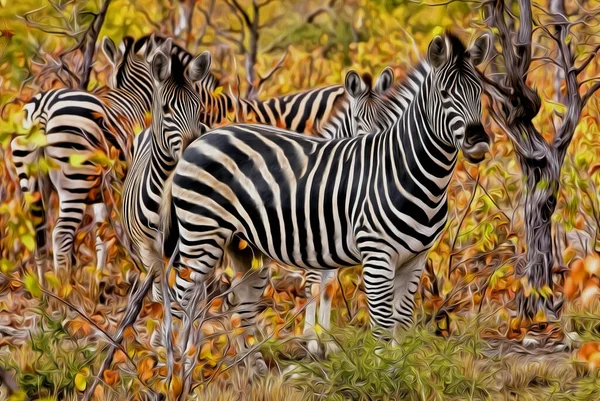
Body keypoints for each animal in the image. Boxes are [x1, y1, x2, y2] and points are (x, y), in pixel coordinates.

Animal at [165, 32, 492, 366]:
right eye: (445, 93)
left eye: (480, 91)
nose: (478, 141)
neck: (408, 173)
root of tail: (201, 138)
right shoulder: (374, 254)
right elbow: (379, 322)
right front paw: (369, 366)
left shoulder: (415, 258)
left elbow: (399, 321)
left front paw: (394, 368)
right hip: (201, 233)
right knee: (182, 297)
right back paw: (179, 365)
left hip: (242, 246)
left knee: (238, 300)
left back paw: (249, 366)